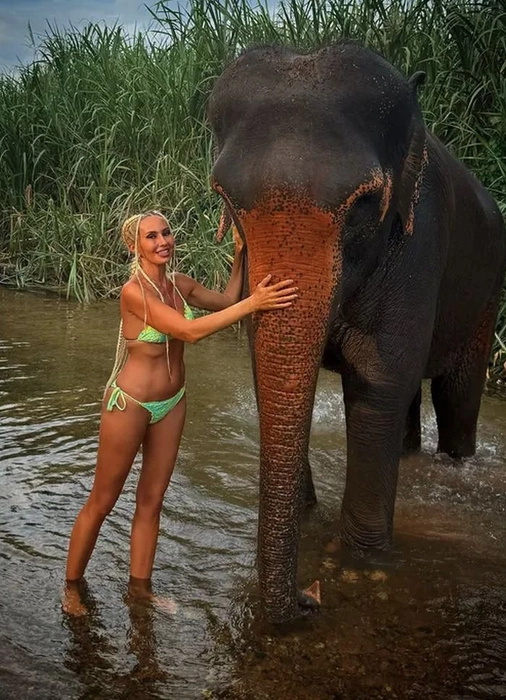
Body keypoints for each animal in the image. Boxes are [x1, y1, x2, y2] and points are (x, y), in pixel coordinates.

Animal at [208, 42, 506, 624]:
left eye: (366, 205)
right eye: (226, 200)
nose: (309, 599)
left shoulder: (417, 245)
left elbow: (377, 383)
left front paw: (364, 561)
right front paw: (309, 524)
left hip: (487, 292)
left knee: (456, 395)